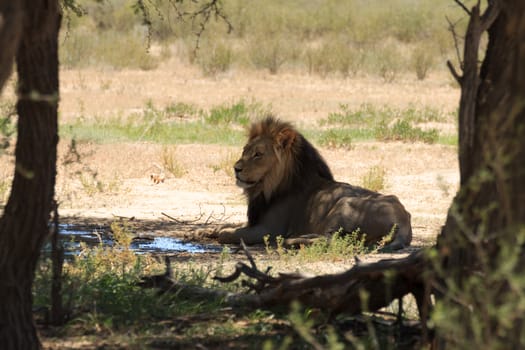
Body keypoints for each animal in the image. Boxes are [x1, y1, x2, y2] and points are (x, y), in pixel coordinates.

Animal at [215, 116, 412, 250]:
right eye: (245, 150)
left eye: (258, 154)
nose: (236, 168)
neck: (265, 187)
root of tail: (403, 222)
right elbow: (229, 226)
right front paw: (209, 230)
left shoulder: (268, 229)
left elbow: (227, 234)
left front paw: (219, 233)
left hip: (344, 203)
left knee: (332, 241)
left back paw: (291, 240)